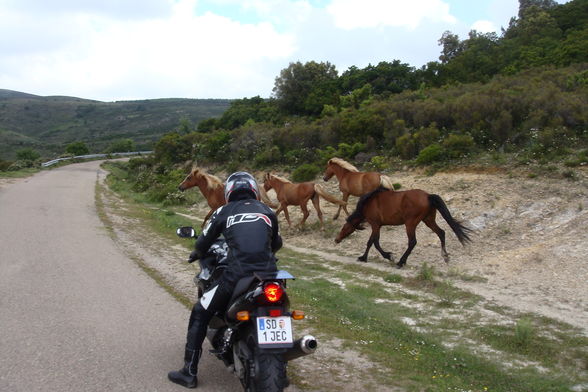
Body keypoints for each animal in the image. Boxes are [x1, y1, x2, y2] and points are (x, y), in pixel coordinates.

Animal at [336, 186, 474, 266]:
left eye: (343, 228)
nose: (336, 239)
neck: (368, 203)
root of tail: (428, 196)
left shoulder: (375, 224)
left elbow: (374, 242)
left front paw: (388, 256)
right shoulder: (378, 226)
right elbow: (371, 242)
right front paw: (363, 257)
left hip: (410, 223)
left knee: (412, 242)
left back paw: (401, 262)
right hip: (428, 220)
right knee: (441, 233)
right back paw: (445, 256)